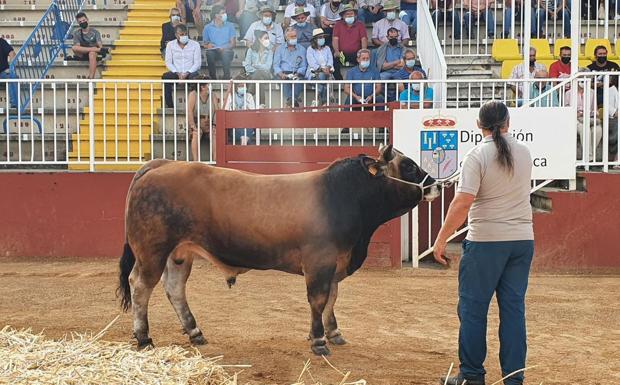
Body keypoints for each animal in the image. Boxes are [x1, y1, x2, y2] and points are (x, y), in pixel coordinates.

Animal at [115, 146, 436, 356]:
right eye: (408, 165)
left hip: (179, 253)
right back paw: (144, 338)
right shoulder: (319, 262)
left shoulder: (334, 264)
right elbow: (319, 300)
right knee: (140, 286)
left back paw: (195, 332)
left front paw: (333, 333)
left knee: (174, 288)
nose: (434, 185)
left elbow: (331, 299)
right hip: (152, 252)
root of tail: (162, 164)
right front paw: (319, 341)